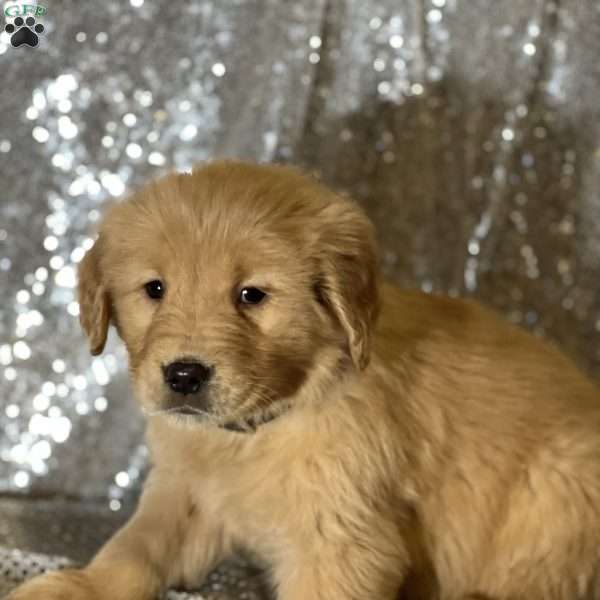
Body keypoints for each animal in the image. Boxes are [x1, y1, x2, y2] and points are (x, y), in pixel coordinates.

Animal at [8, 161, 600, 600]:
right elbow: (136, 545)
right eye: (154, 289)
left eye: (251, 295)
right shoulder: (187, 490)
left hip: (561, 486)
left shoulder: (341, 541)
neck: (258, 426)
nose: (183, 375)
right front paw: (80, 585)